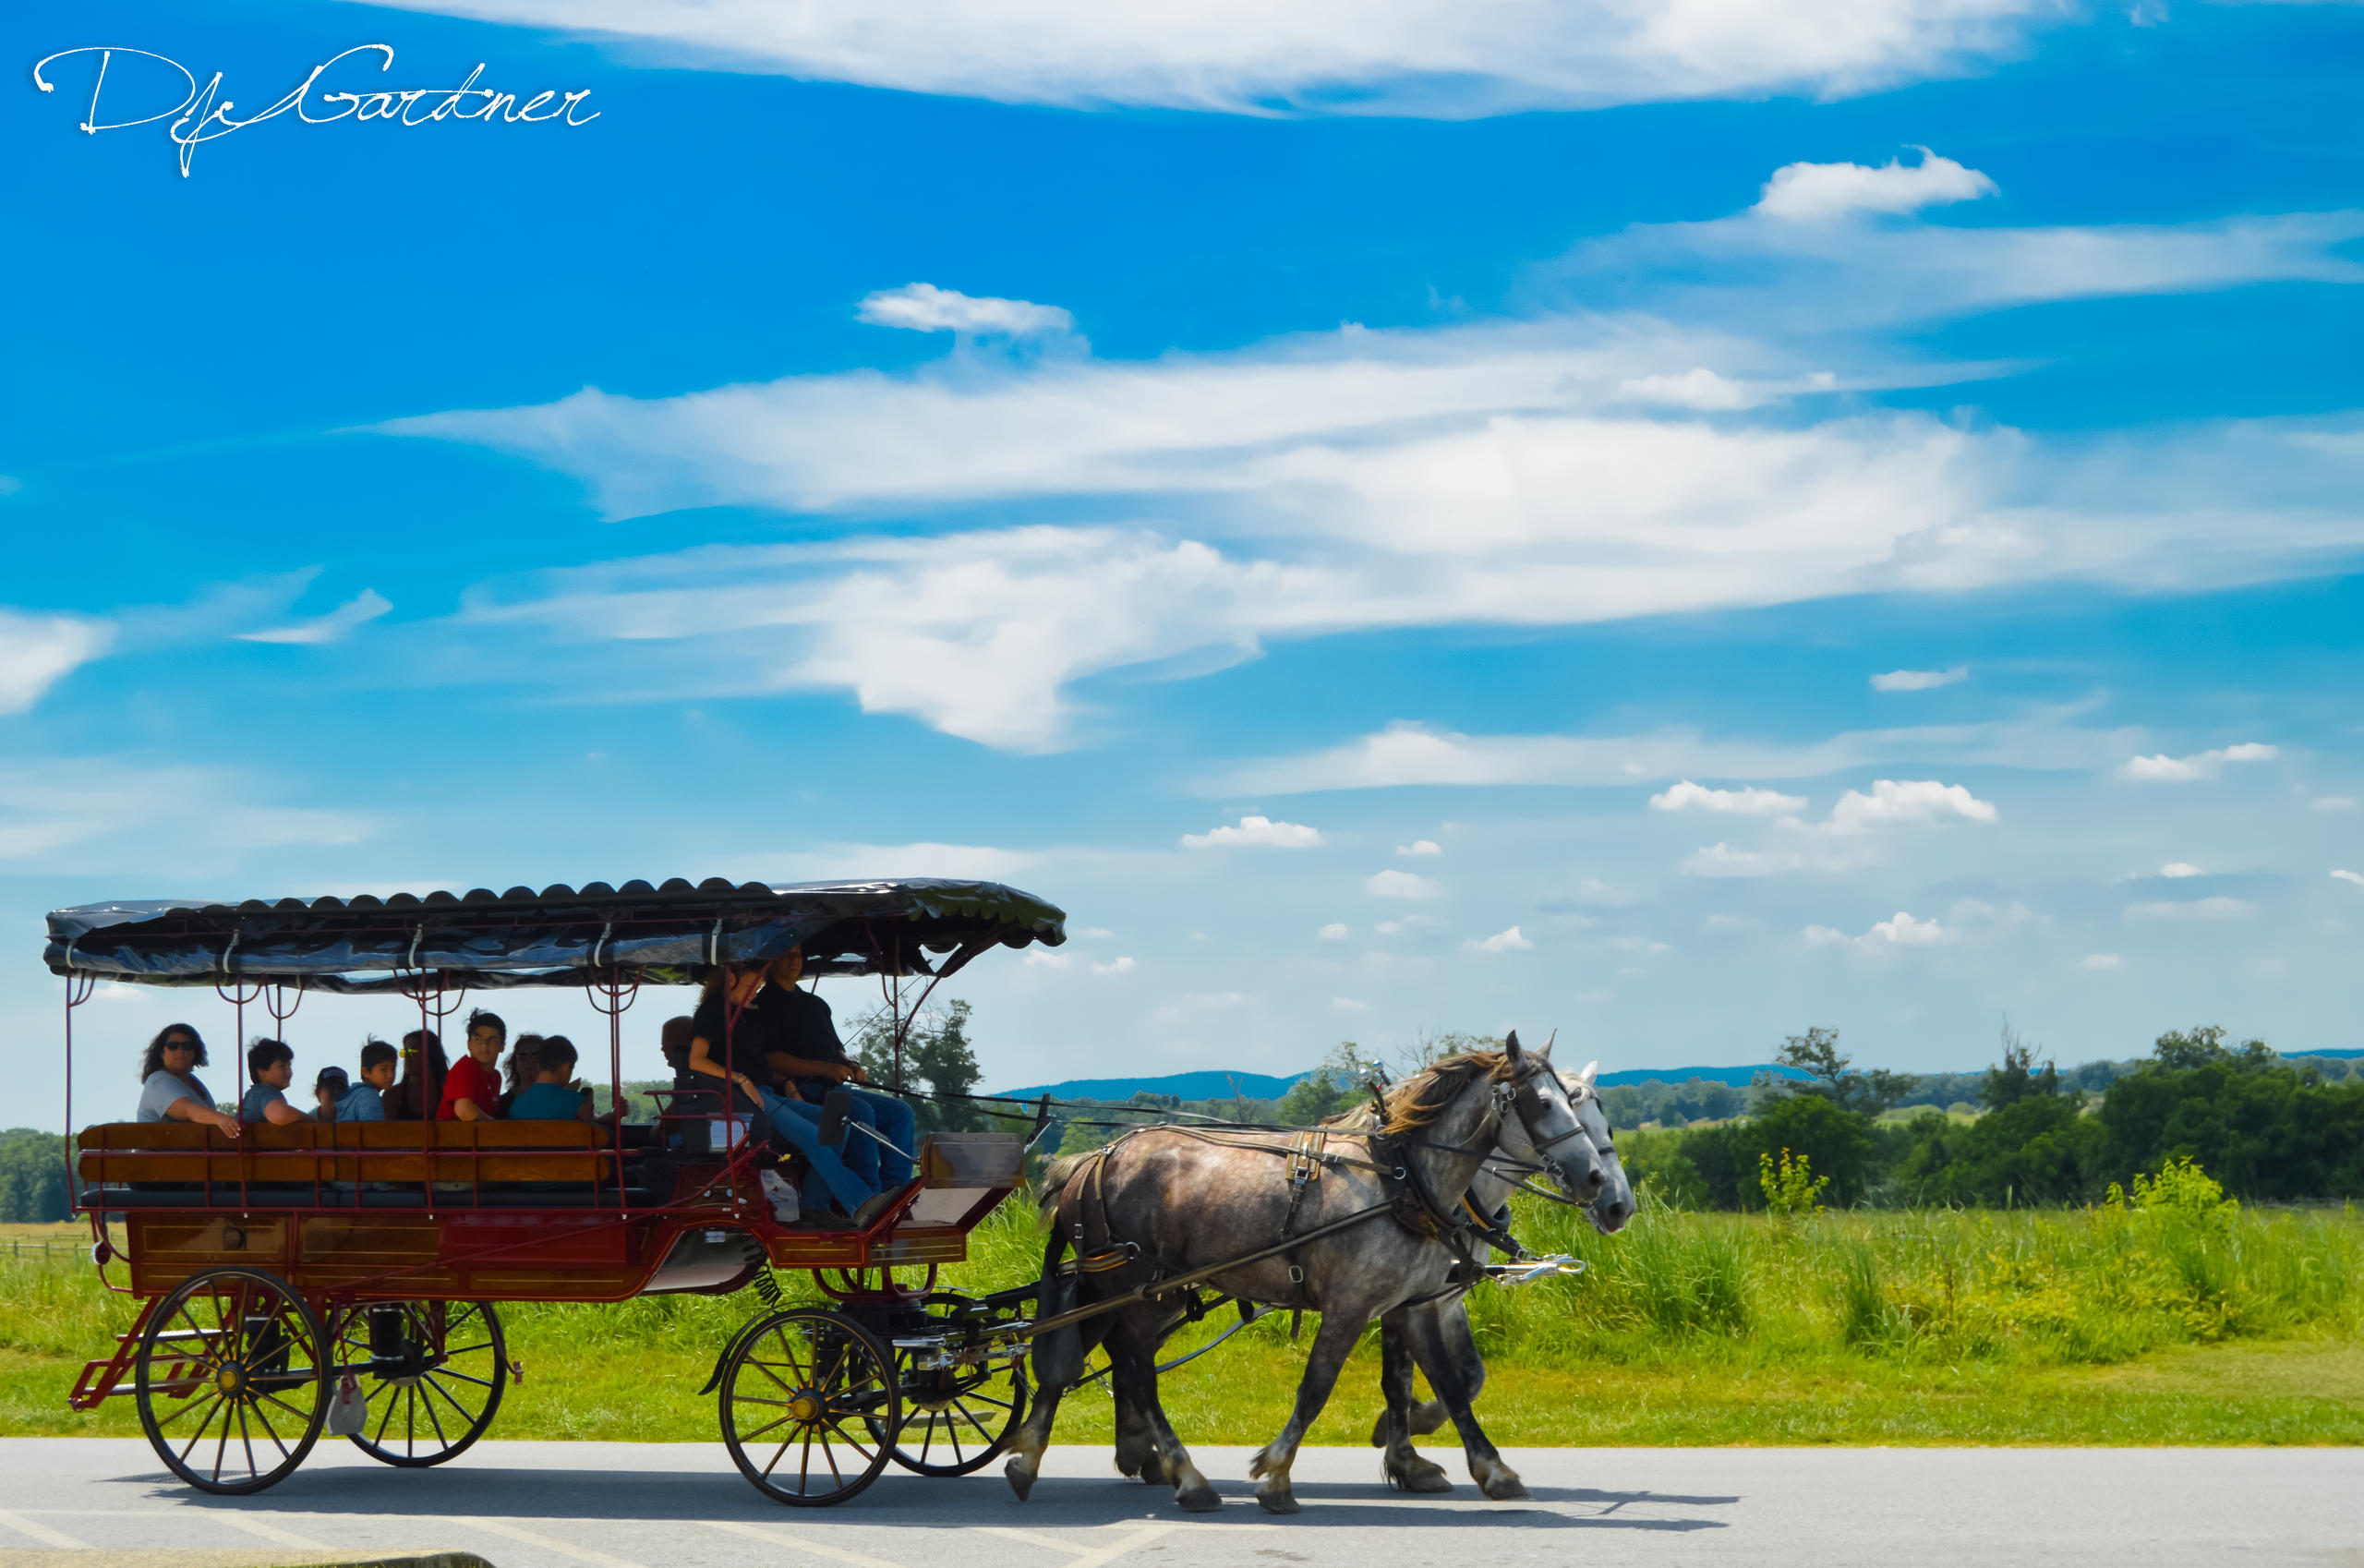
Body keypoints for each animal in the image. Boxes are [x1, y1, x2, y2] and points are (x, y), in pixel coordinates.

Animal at [1007, 1035, 1617, 1514]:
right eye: (1544, 1102)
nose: (1601, 1188)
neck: (1402, 1179)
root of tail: (1095, 1158)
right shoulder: (1353, 1304)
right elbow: (1318, 1387)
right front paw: (1277, 1474)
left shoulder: (1414, 1305)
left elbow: (1449, 1386)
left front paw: (1491, 1471)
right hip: (1131, 1287)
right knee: (1131, 1368)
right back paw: (1183, 1474)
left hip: (1137, 1291)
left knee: (1100, 1359)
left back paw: (1041, 1456)